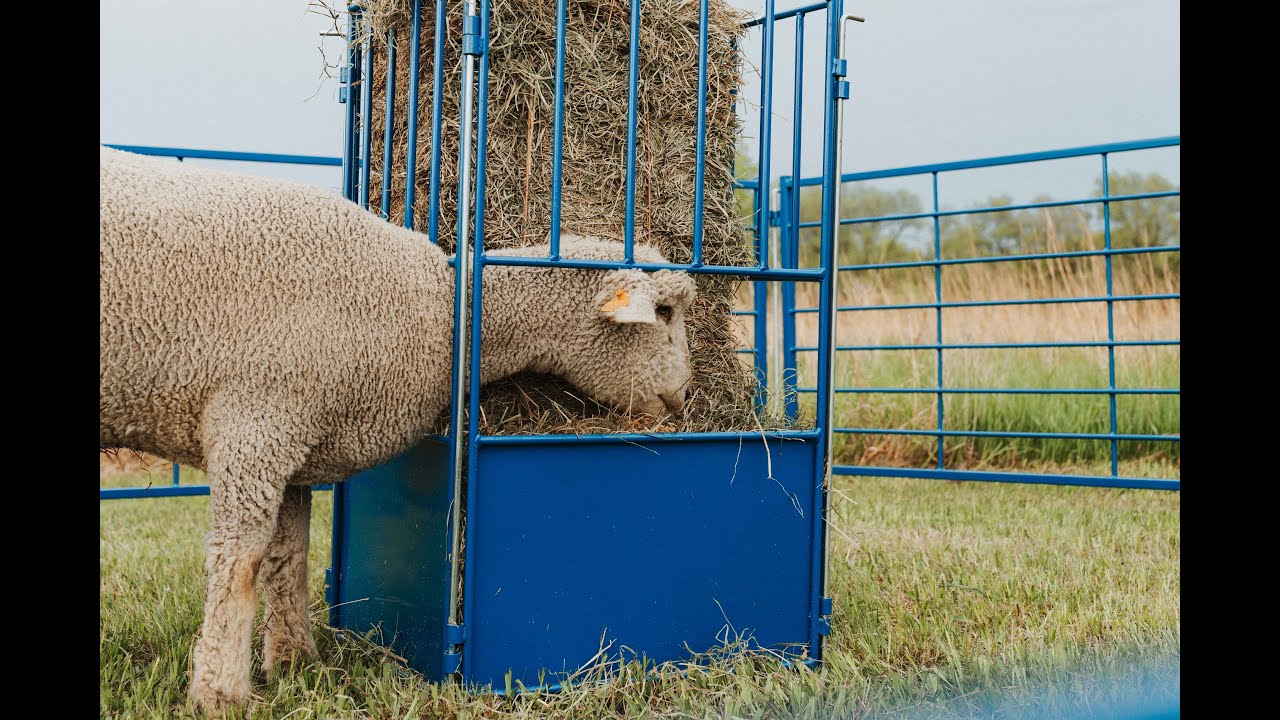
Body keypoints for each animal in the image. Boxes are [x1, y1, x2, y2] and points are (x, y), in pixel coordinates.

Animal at [99, 146, 697, 713]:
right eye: (664, 313)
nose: (683, 396)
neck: (445, 310)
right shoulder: (257, 421)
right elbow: (240, 562)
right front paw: (221, 692)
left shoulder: (295, 440)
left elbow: (288, 555)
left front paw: (295, 663)